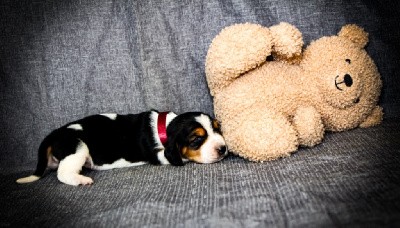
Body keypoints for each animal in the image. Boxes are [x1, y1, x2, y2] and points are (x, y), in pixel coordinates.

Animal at [16, 110, 228, 185]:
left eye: (218, 128)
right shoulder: (159, 155)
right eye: (196, 140)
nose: (223, 148)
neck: (165, 126)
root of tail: (53, 134)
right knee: (62, 173)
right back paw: (81, 180)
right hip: (77, 146)